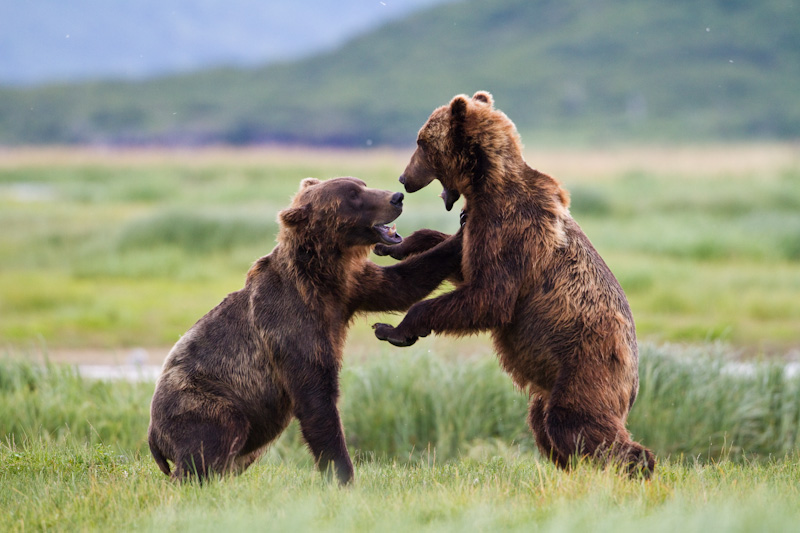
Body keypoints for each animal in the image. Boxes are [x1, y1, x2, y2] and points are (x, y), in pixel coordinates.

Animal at [149, 177, 460, 484]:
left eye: (362, 184)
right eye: (353, 195)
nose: (396, 197)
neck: (319, 275)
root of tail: (152, 435)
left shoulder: (351, 288)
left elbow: (402, 284)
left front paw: (457, 236)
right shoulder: (290, 322)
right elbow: (316, 397)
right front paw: (342, 475)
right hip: (202, 400)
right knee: (215, 438)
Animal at [376, 90, 656, 474]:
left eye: (422, 143)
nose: (404, 178)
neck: (485, 186)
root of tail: (634, 380)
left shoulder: (512, 229)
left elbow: (489, 296)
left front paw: (394, 329)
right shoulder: (478, 225)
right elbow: (457, 260)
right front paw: (395, 244)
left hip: (586, 364)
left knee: (574, 423)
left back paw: (636, 464)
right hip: (553, 380)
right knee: (544, 421)